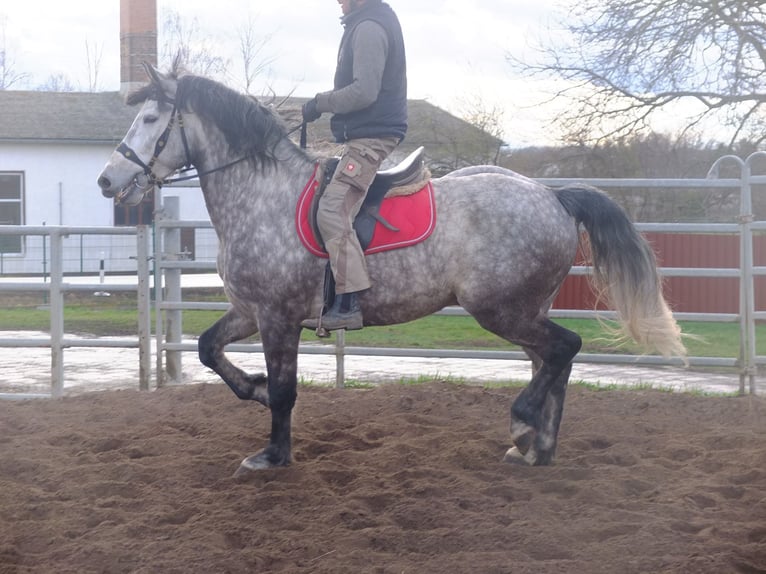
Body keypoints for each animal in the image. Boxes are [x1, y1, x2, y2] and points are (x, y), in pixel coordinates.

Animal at [97, 64, 688, 476]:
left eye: (150, 120)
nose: (107, 181)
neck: (262, 195)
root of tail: (553, 195)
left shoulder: (277, 317)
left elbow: (286, 390)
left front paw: (273, 453)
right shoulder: (249, 310)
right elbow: (208, 350)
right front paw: (256, 390)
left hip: (502, 310)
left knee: (565, 348)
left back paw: (524, 425)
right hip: (524, 310)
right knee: (554, 361)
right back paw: (538, 448)